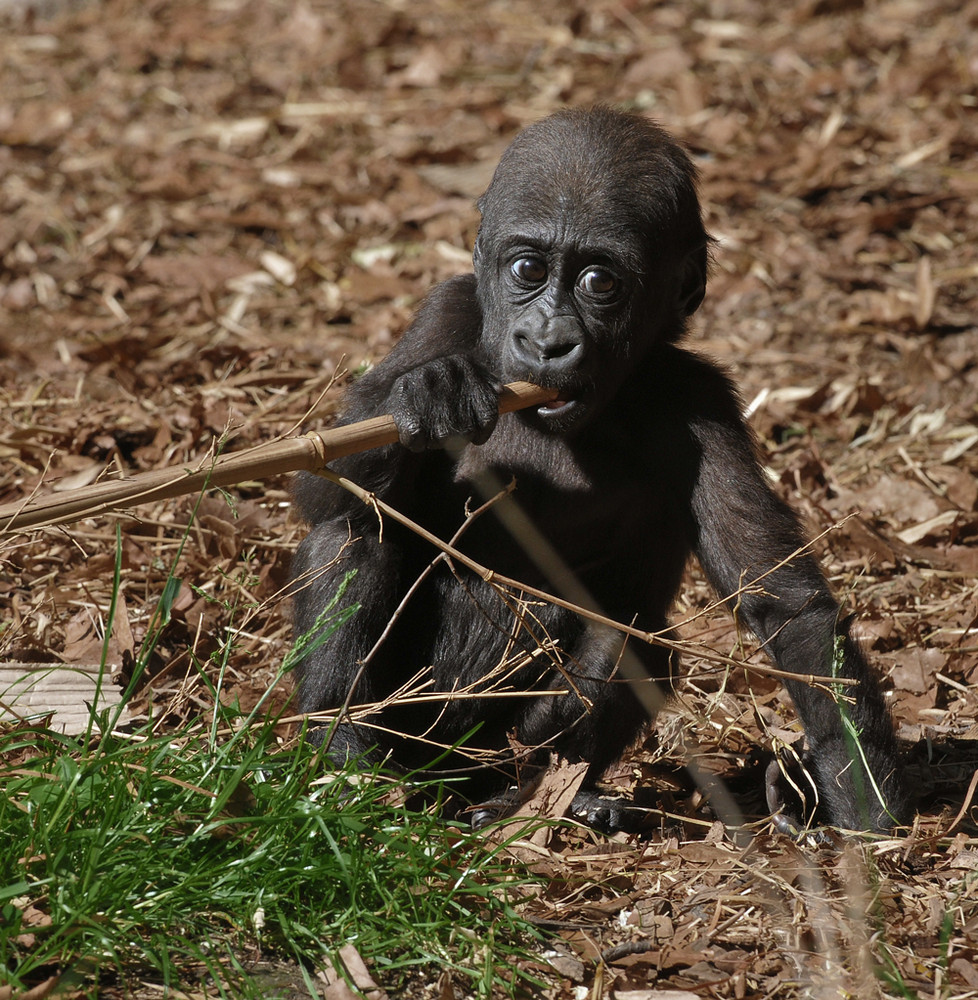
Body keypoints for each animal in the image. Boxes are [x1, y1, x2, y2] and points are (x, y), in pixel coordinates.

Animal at [292, 105, 908, 832]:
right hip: (419, 736)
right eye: (528, 268)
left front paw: (864, 802)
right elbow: (327, 486)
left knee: (627, 637)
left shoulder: (698, 400)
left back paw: (553, 793)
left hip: (491, 755)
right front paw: (429, 392)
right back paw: (347, 756)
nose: (548, 341)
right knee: (352, 535)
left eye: (600, 283)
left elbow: (786, 606)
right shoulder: (447, 309)